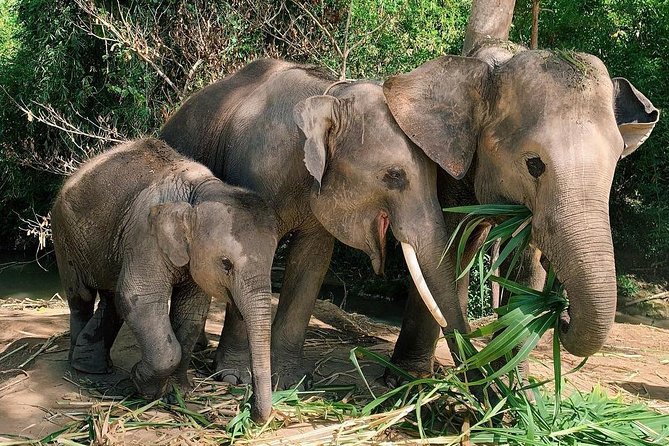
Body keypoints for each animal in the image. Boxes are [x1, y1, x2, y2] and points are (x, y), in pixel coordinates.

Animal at [51, 138, 278, 422]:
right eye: (226, 263)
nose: (247, 408)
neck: (198, 192)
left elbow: (191, 311)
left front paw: (178, 392)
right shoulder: (145, 235)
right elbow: (140, 299)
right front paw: (143, 385)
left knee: (112, 299)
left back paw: (94, 366)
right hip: (65, 237)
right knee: (81, 297)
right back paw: (80, 369)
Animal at [159, 58, 459, 387]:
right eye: (395, 175)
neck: (331, 97)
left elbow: (312, 261)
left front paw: (291, 382)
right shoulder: (251, 175)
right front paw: (235, 378)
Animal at [381, 39, 659, 376]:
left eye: (617, 161)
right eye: (534, 165)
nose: (563, 314)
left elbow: (524, 268)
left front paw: (512, 386)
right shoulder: (449, 170)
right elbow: (442, 252)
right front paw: (407, 381)